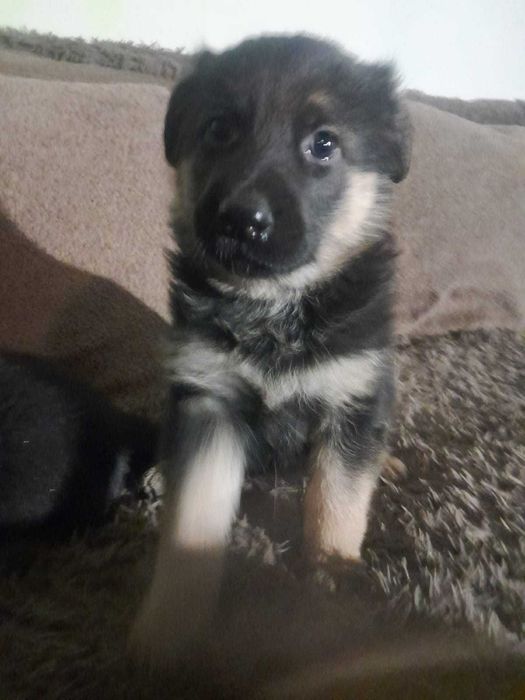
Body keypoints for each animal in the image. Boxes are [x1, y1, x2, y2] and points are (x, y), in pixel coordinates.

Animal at [131, 34, 411, 664]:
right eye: (217, 130)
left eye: (324, 144)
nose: (242, 220)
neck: (274, 307)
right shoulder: (208, 400)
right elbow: (196, 517)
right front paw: (170, 628)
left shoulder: (352, 400)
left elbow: (337, 502)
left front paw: (330, 578)